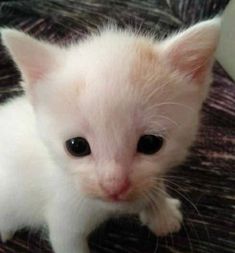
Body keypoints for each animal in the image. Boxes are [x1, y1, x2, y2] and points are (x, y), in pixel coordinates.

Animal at [0, 18, 220, 253]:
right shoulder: (64, 221)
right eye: (76, 146)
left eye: (150, 143)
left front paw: (162, 213)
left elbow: (155, 182)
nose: (114, 186)